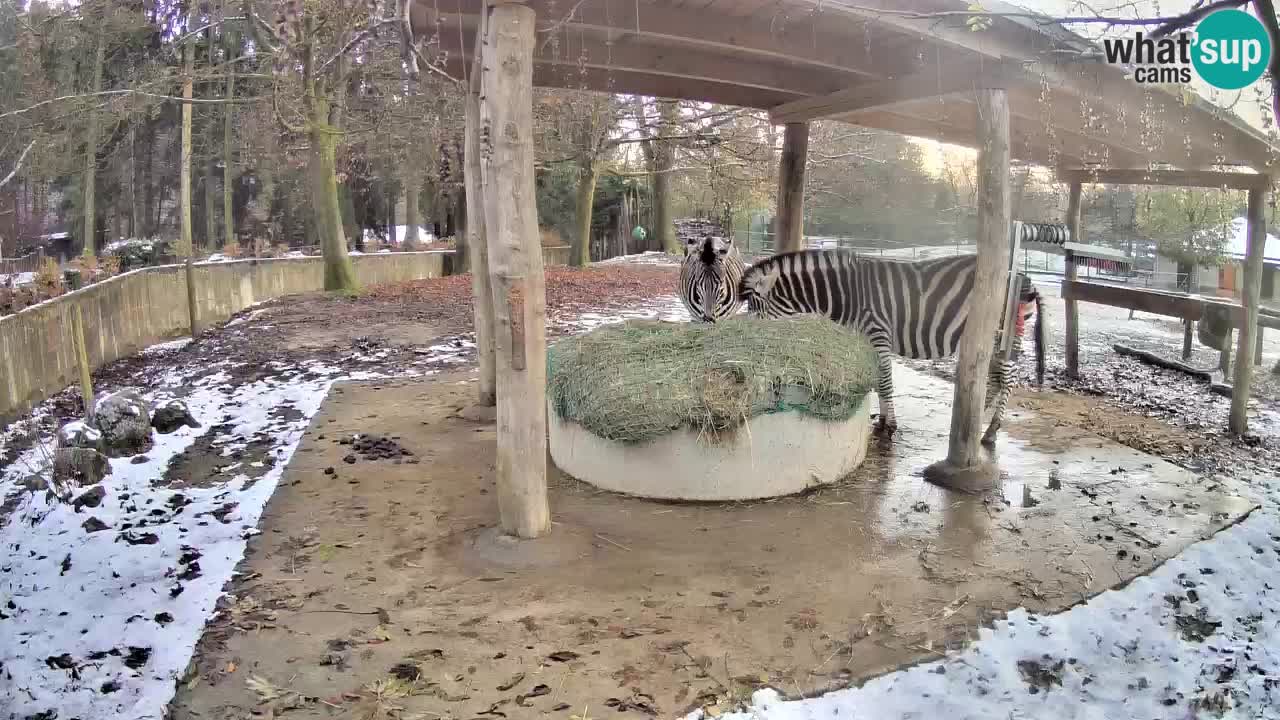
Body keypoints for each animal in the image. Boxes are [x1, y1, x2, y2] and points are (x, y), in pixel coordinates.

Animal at [737, 249, 1044, 445]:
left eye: (756, 315)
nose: (750, 351)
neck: (847, 294)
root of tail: (1024, 277)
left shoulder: (878, 333)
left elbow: (884, 380)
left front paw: (890, 427)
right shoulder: (868, 339)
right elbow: (878, 381)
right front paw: (882, 421)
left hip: (1003, 337)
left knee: (1008, 379)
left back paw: (991, 431)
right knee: (993, 379)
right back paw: (978, 419)